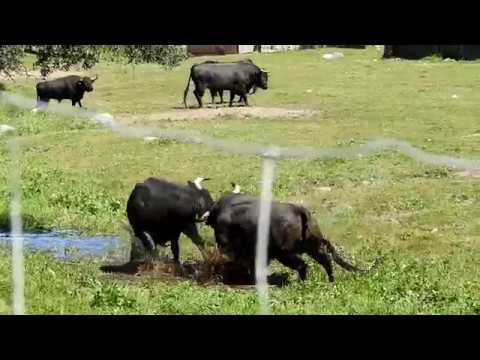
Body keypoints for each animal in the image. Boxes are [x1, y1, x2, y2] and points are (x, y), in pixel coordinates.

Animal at [202, 187, 376, 282]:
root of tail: (299, 210)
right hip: (312, 247)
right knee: (326, 261)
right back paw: (330, 281)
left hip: (284, 253)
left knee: (302, 265)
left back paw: (302, 283)